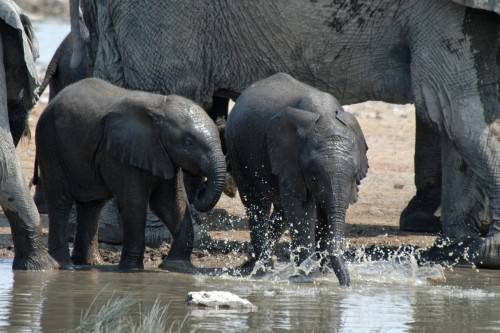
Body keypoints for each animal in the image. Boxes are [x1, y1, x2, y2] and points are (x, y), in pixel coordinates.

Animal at [36, 77, 227, 270]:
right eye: (188, 142)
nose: (203, 187)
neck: (160, 107)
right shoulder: (121, 153)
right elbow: (134, 202)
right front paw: (132, 270)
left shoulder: (166, 156)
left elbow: (170, 203)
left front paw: (176, 266)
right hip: (50, 144)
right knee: (61, 200)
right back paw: (65, 265)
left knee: (91, 205)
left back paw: (89, 264)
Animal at [69, 0, 500, 264]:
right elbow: (457, 108)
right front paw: (487, 252)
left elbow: (455, 112)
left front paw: (458, 250)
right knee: (165, 84)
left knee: (115, 74)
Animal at [226, 73, 368, 286]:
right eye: (313, 173)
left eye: (354, 175)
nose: (346, 285)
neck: (325, 113)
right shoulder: (288, 158)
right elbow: (302, 210)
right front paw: (307, 275)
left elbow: (324, 214)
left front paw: (321, 273)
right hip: (238, 151)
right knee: (256, 204)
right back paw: (262, 270)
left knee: (281, 212)